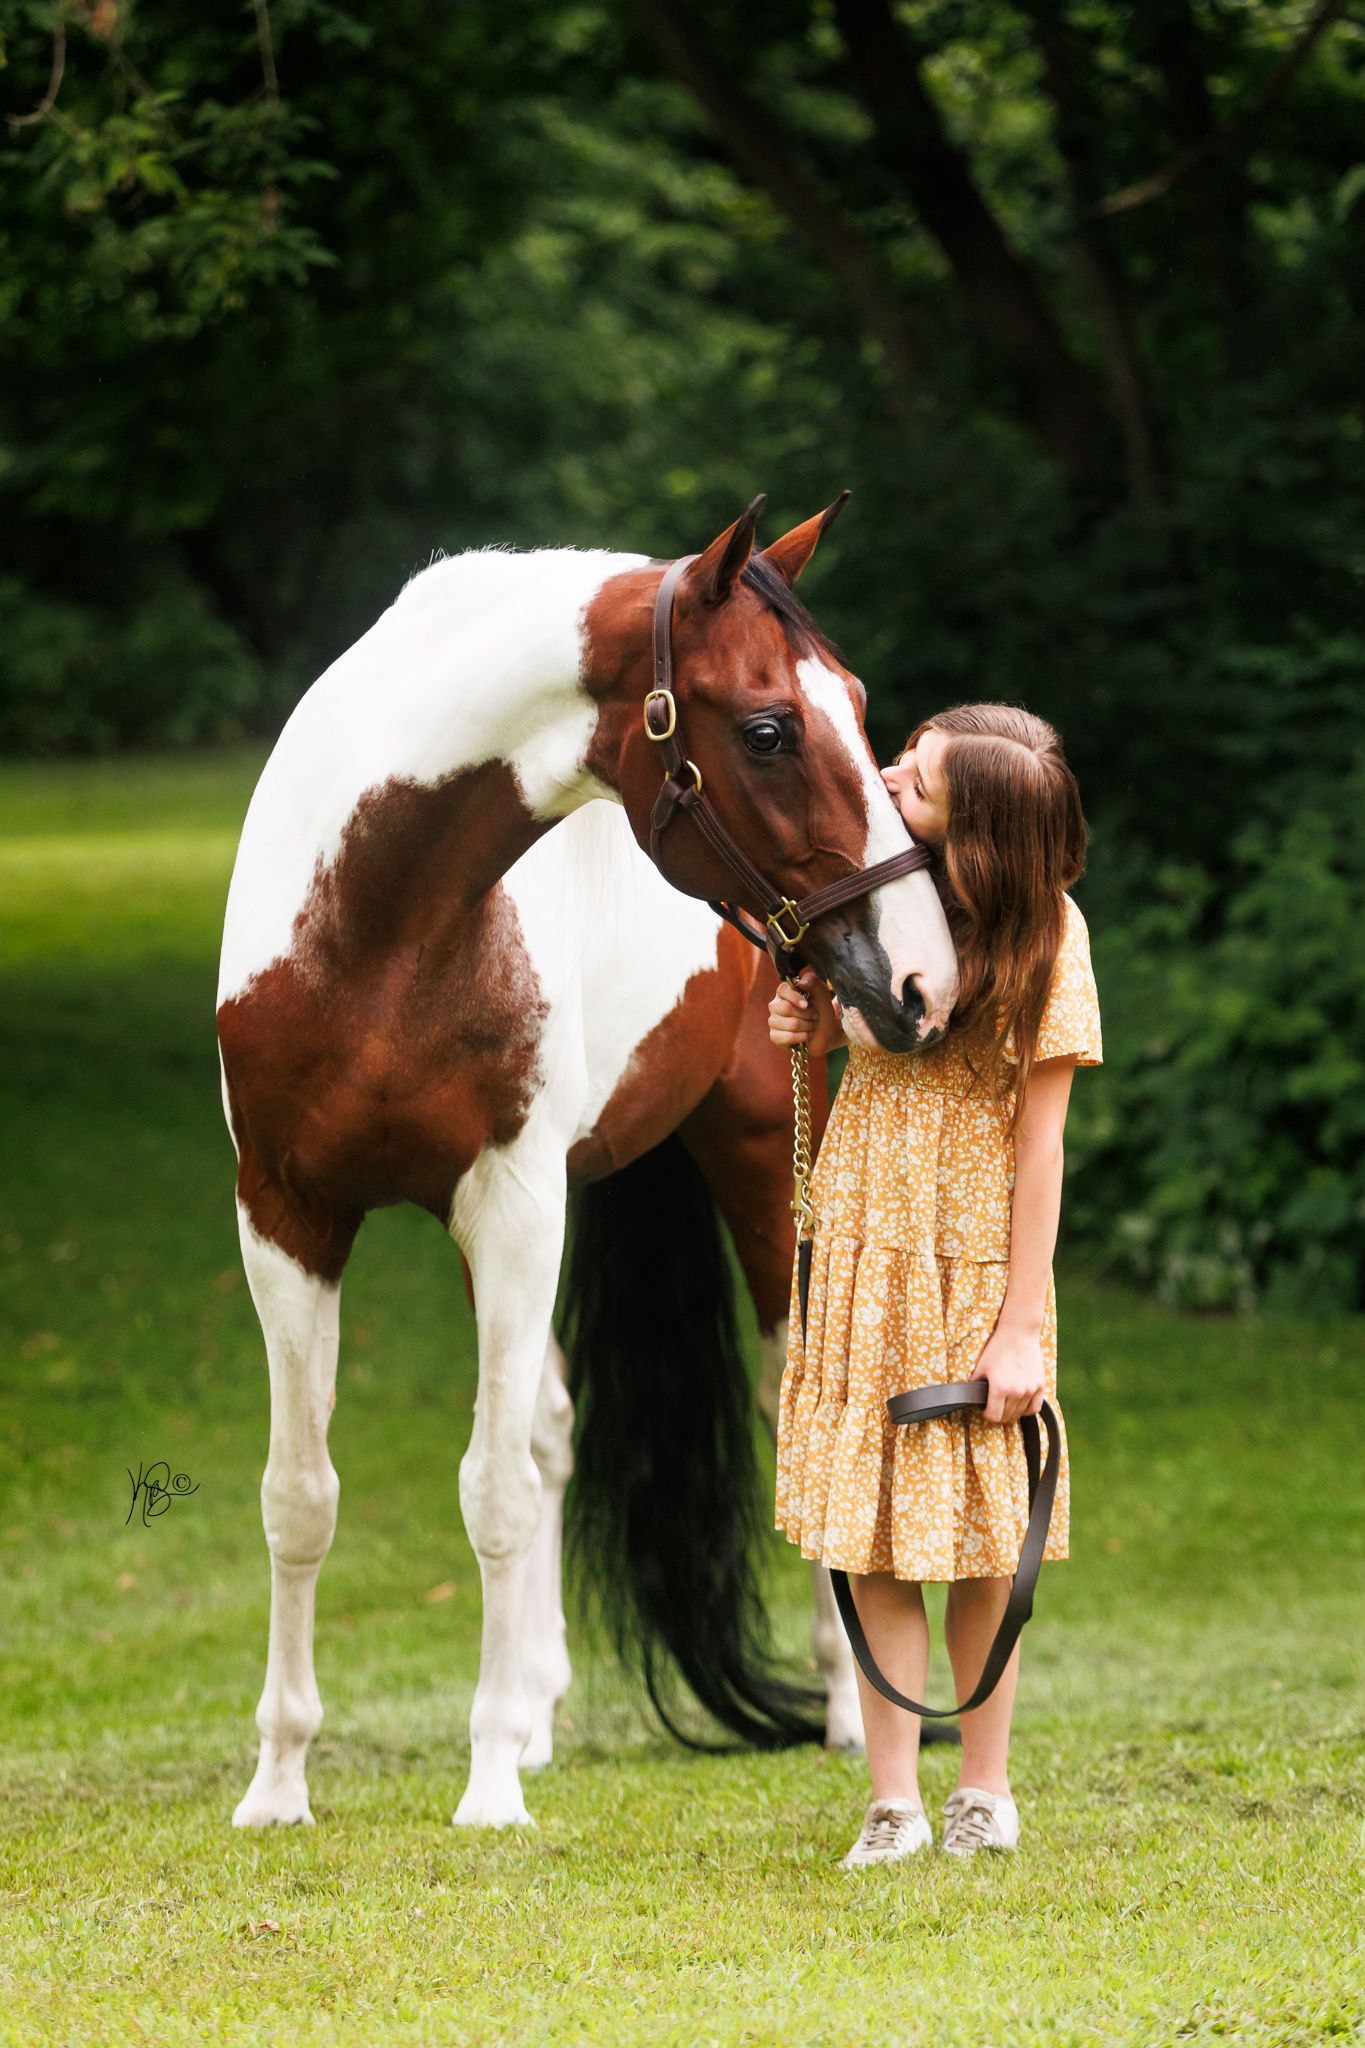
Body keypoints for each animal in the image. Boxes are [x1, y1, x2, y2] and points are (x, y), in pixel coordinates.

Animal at [216, 496, 958, 1828]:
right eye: (769, 727)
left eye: (860, 701)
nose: (925, 974)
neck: (376, 923)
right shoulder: (288, 1216)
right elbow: (300, 1494)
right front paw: (280, 1781)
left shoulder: (510, 1204)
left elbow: (492, 1487)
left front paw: (488, 1787)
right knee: (551, 1426)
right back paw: (538, 1710)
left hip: (757, 1149)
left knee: (787, 1395)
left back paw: (838, 1707)